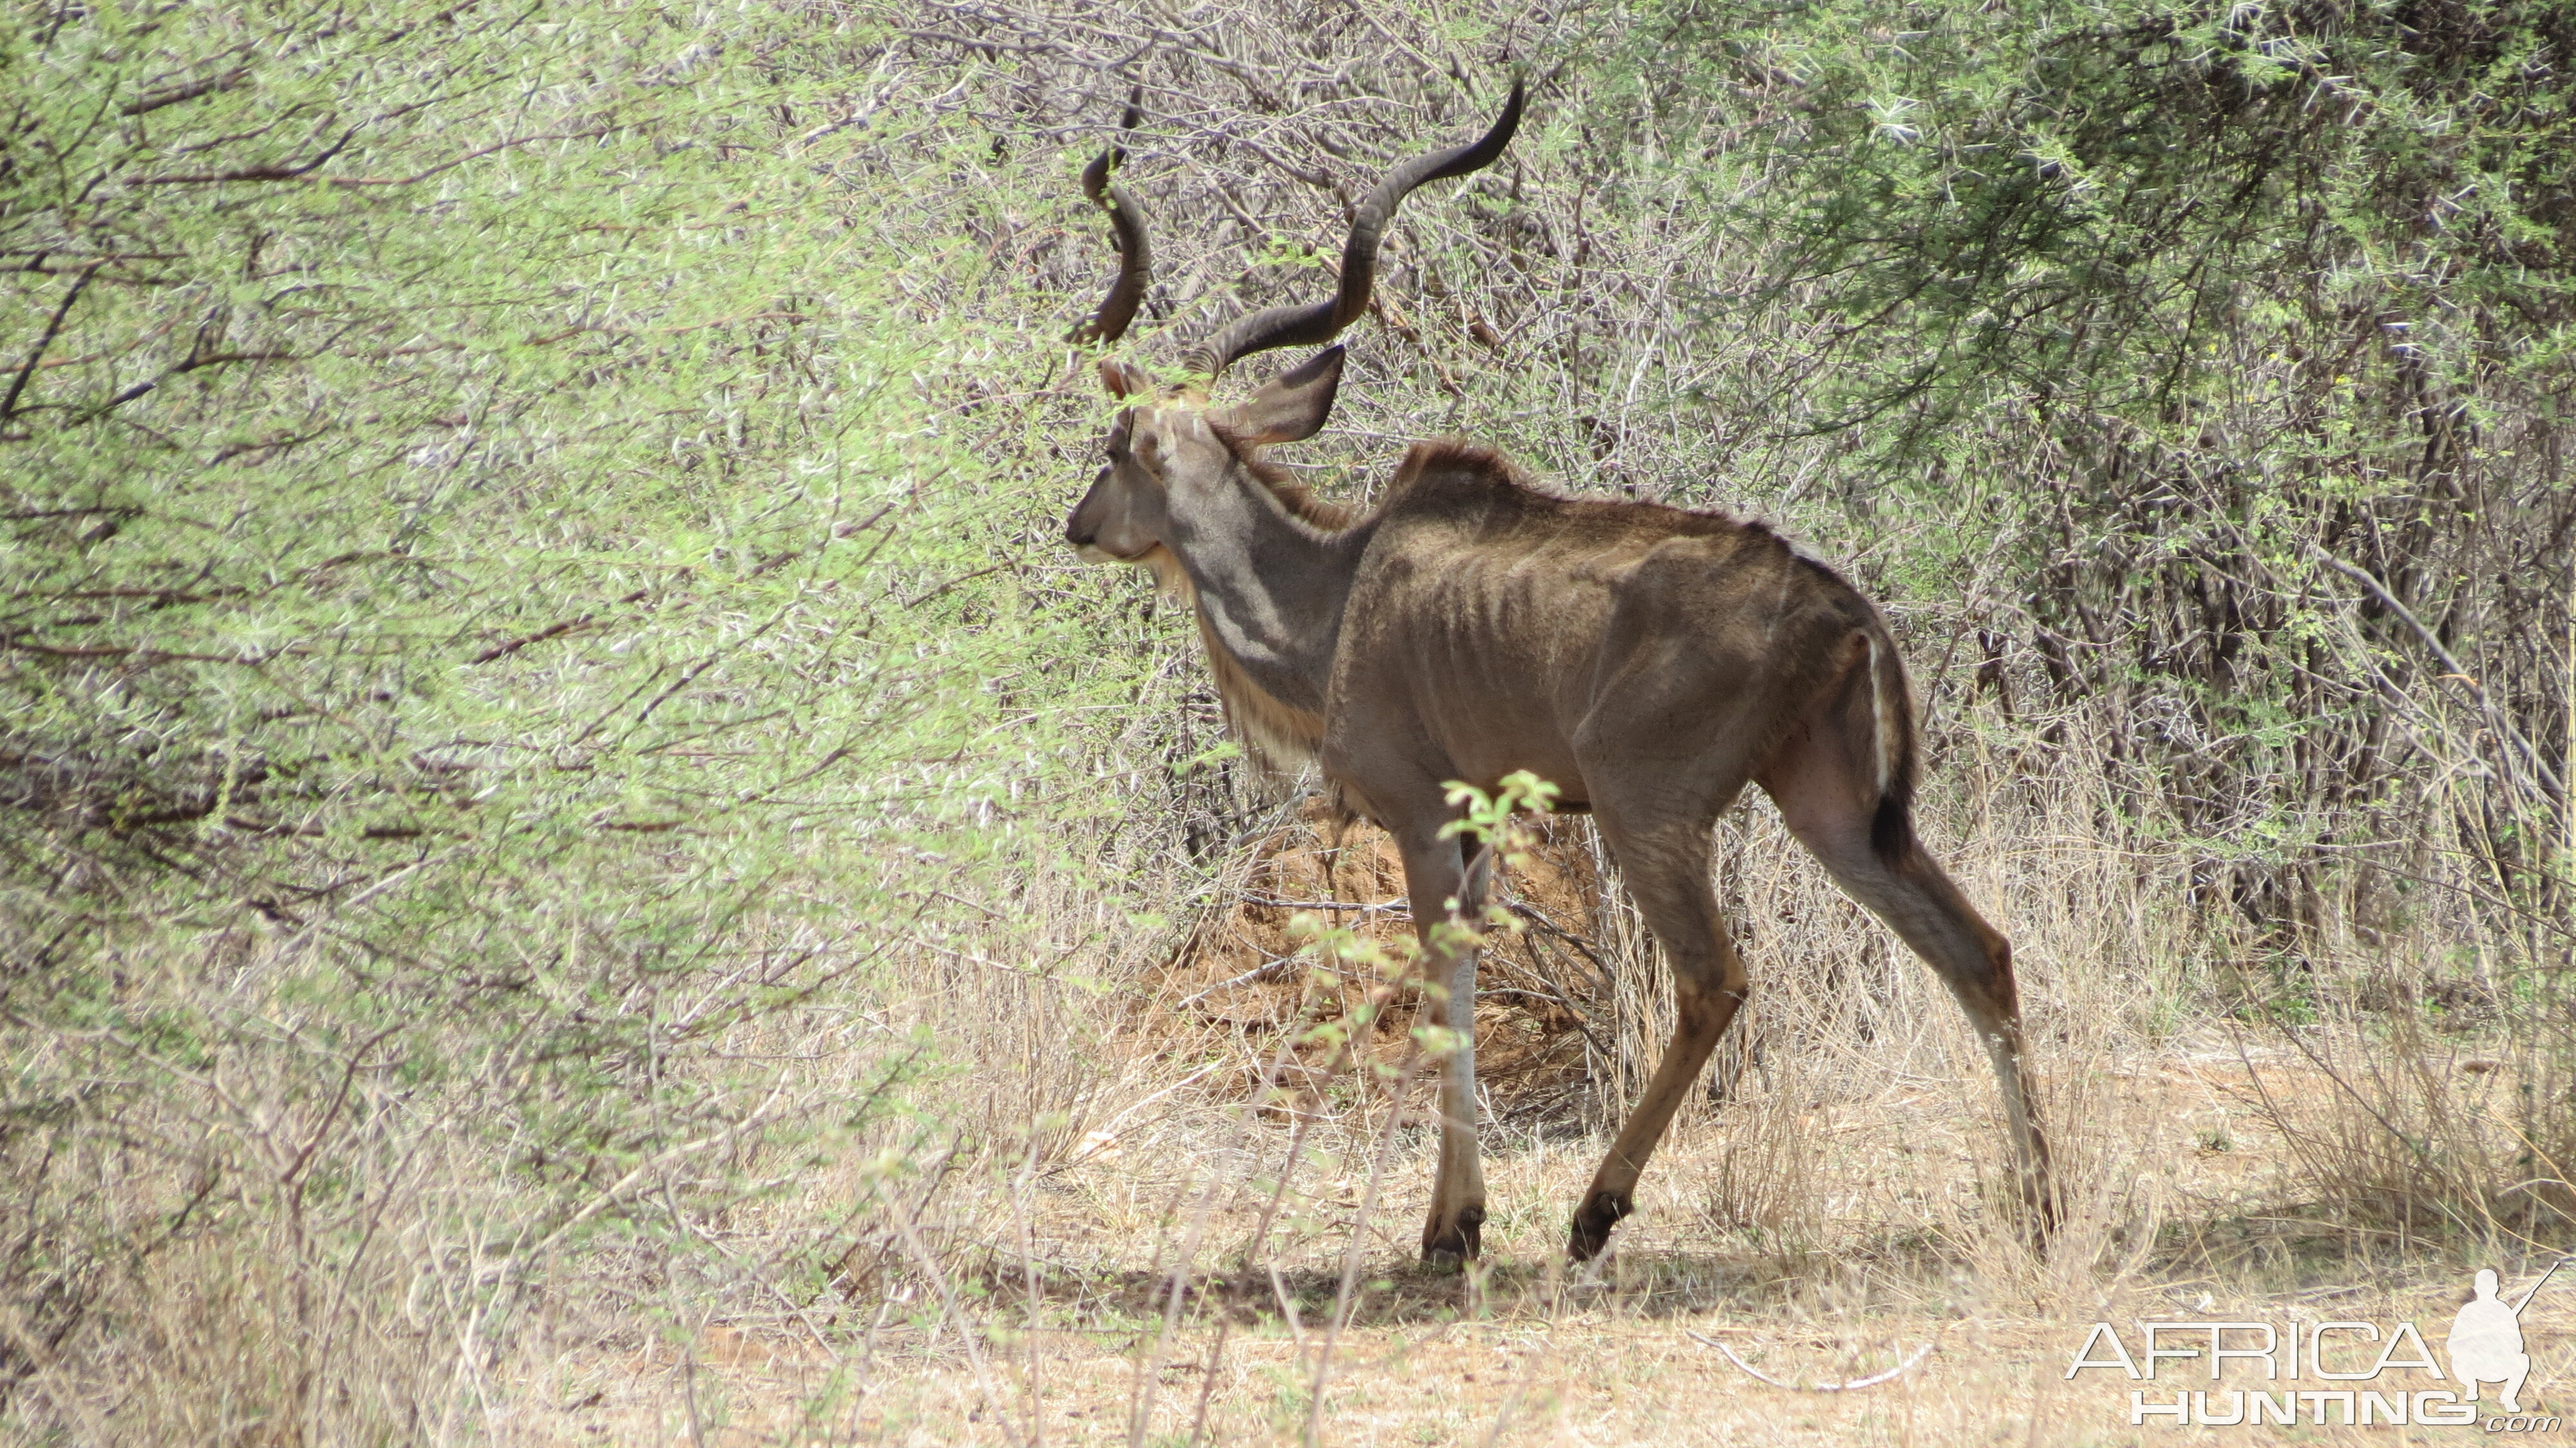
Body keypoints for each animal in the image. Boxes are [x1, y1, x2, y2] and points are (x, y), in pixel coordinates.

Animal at [1061, 82, 2050, 1262]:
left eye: (1114, 448)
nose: (1078, 526)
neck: (1339, 593)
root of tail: (1838, 606)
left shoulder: (1425, 810)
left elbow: (1445, 979)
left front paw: (1453, 1224)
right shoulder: (1483, 823)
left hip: (1645, 808)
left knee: (1716, 981)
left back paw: (1596, 1209)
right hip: (1832, 807)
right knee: (1978, 949)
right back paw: (2042, 1201)